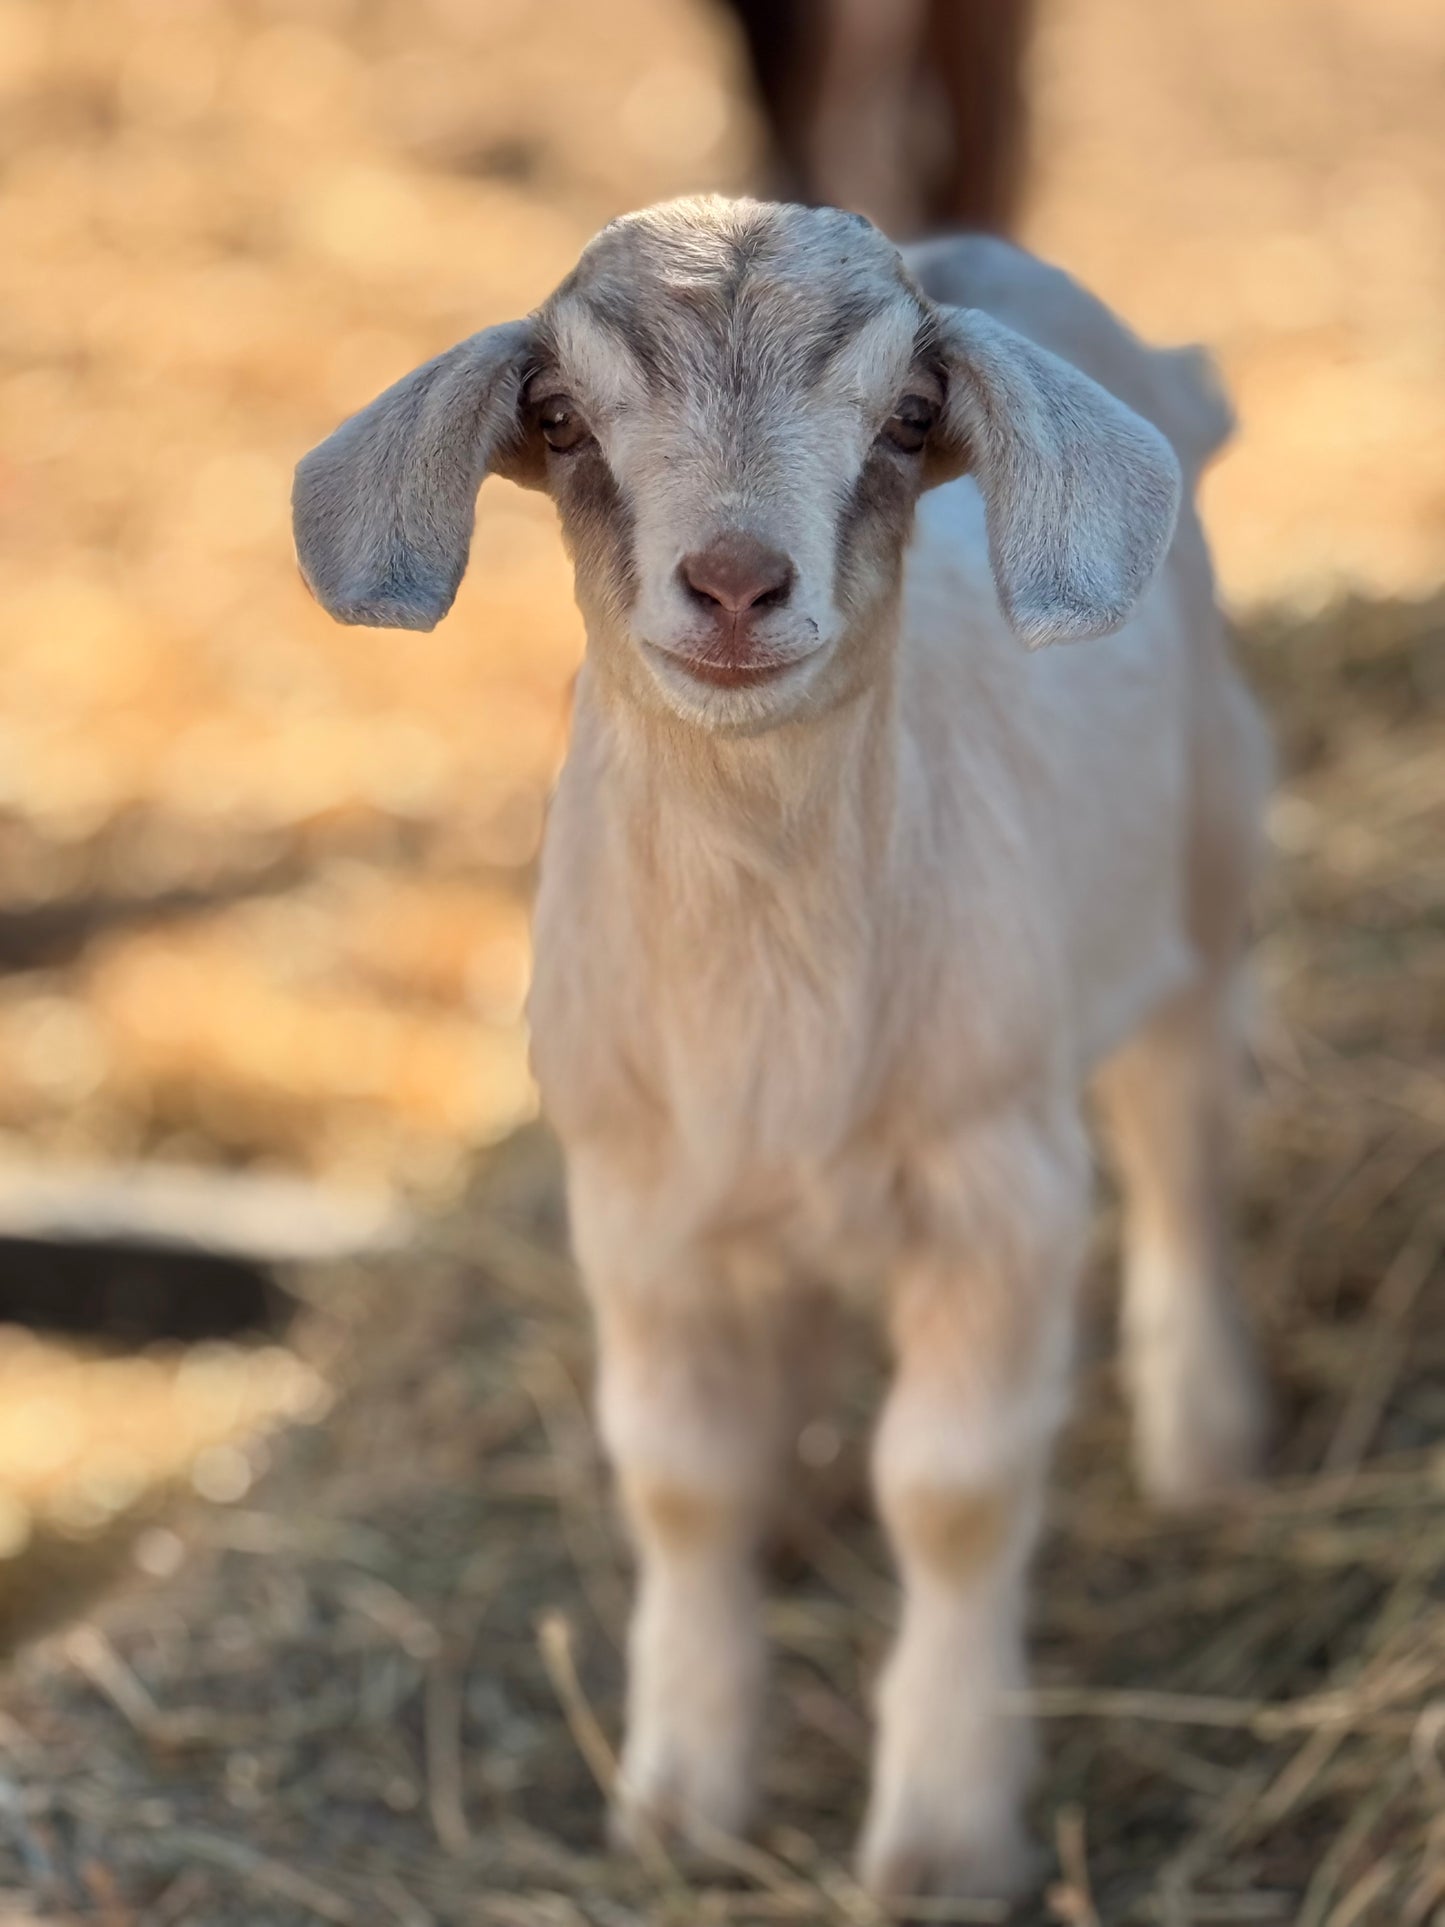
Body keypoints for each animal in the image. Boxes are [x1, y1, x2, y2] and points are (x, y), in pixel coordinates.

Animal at [293, 197, 1271, 1901]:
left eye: (909, 413)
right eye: (561, 415)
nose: (736, 578)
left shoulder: (1000, 1191)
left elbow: (951, 1491)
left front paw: (943, 1836)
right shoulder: (632, 1206)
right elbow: (683, 1473)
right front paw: (680, 1797)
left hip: (1200, 890)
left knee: (1182, 1157)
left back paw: (1207, 1446)